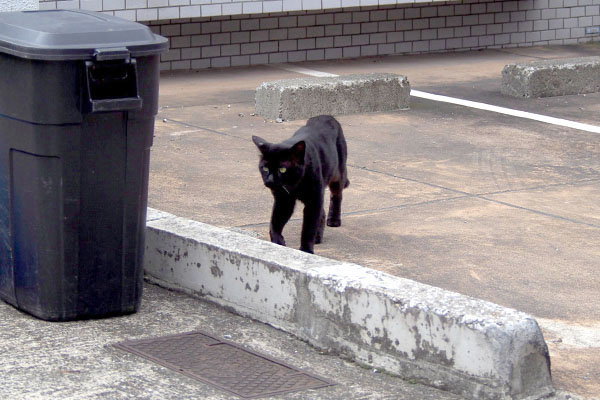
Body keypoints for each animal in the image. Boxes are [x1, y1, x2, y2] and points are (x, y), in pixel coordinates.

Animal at [252, 115, 346, 253]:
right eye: (265, 168)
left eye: (282, 169)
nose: (269, 180)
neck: (294, 185)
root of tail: (327, 116)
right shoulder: (283, 200)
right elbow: (275, 222)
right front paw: (278, 243)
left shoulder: (313, 200)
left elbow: (308, 228)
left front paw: (306, 250)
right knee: (322, 211)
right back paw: (318, 237)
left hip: (337, 175)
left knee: (337, 195)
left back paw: (334, 220)